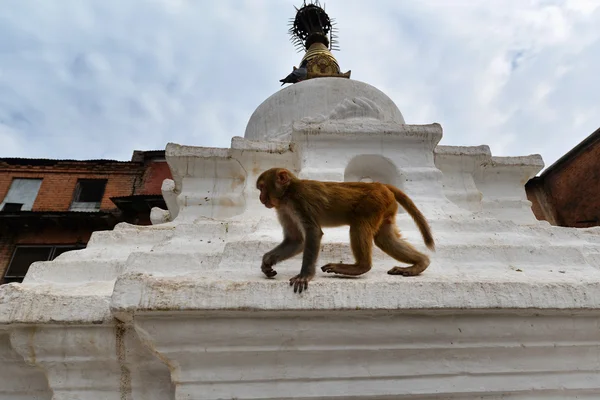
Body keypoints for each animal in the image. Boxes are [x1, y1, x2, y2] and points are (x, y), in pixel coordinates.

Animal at [255, 166, 434, 294]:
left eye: (262, 188)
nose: (260, 198)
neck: (288, 193)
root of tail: (380, 185)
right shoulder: (284, 209)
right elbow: (296, 240)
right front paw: (267, 261)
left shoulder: (299, 201)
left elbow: (313, 233)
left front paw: (305, 276)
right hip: (384, 207)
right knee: (384, 239)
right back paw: (420, 263)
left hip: (373, 203)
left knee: (359, 226)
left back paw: (360, 267)